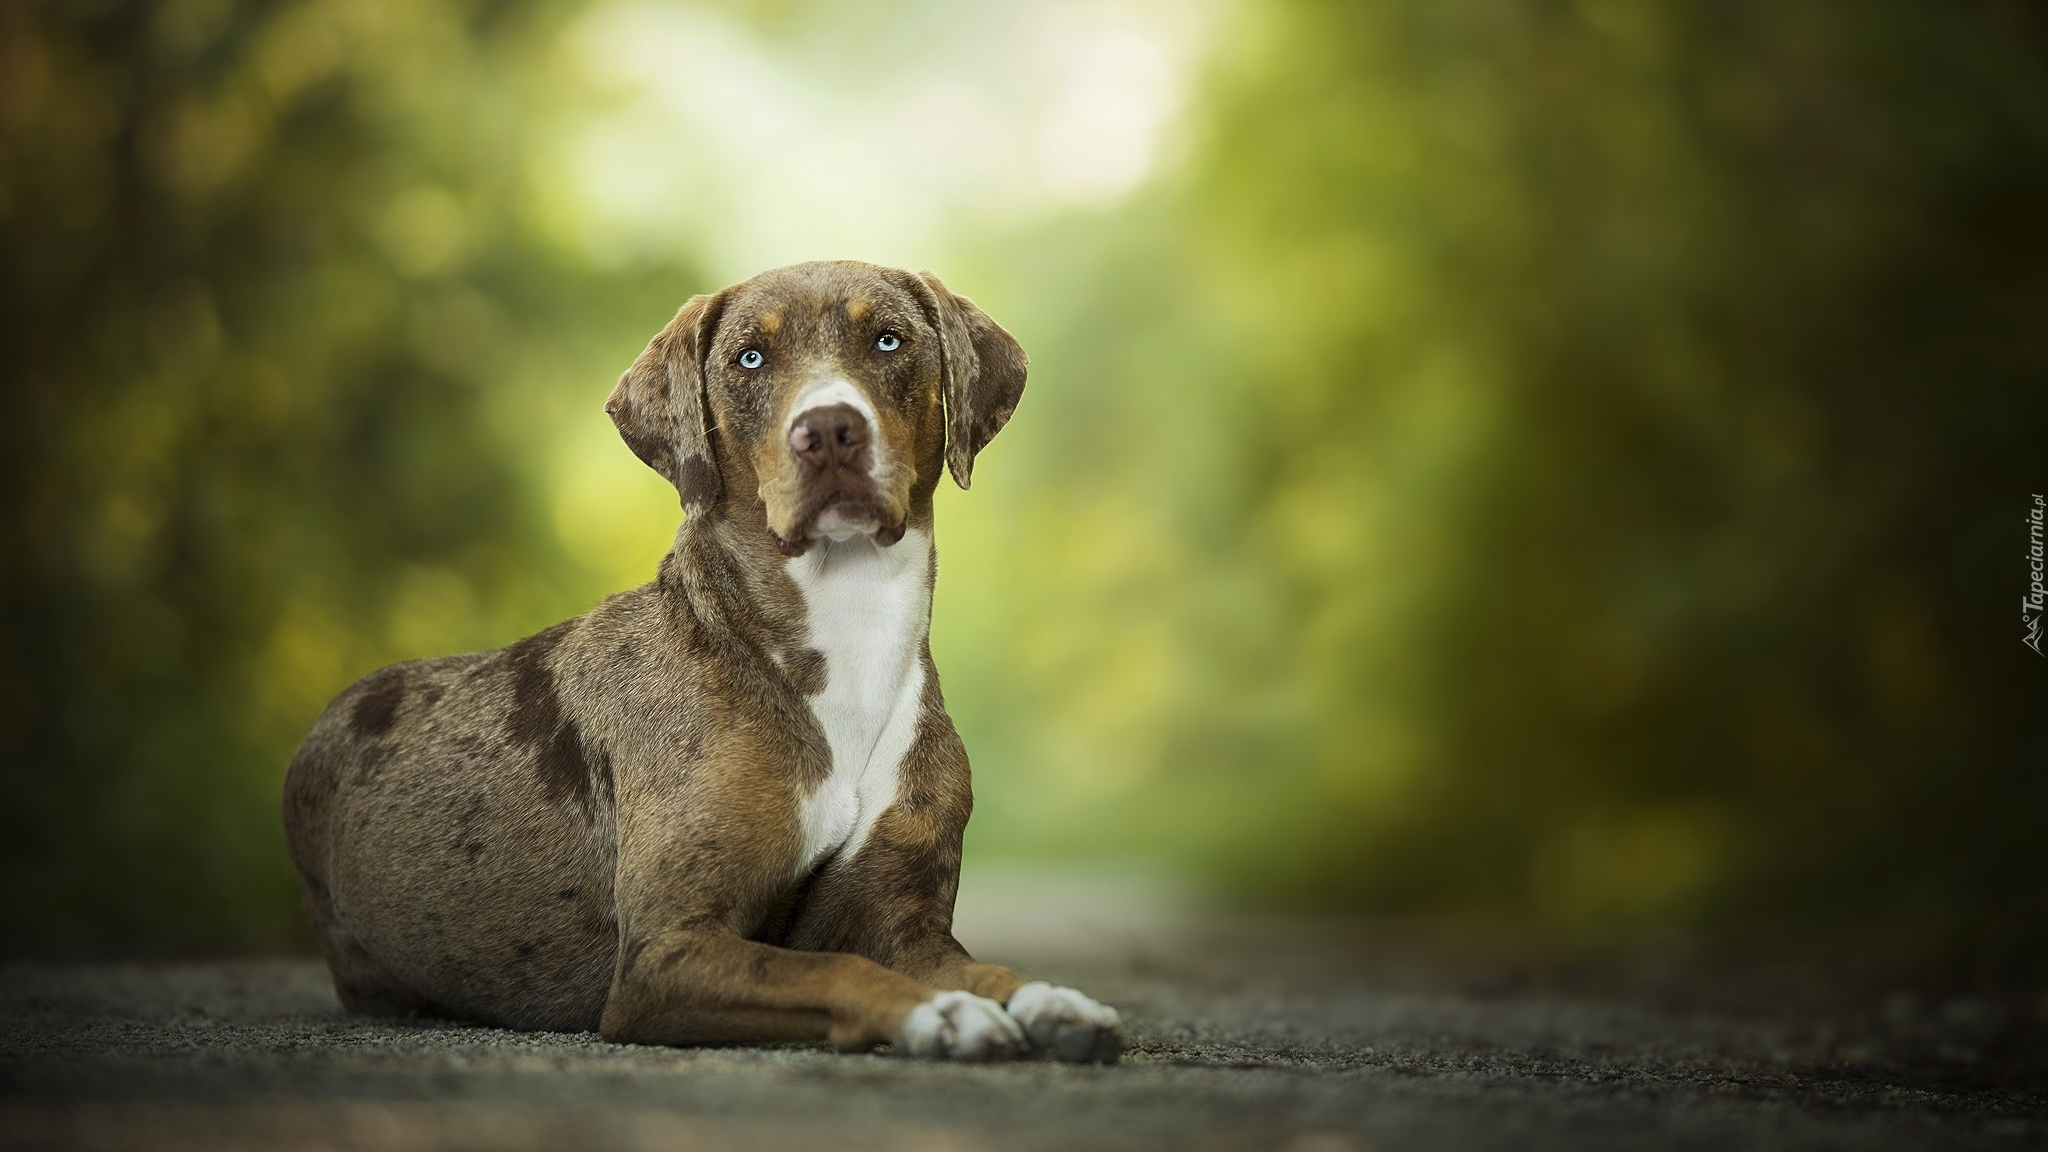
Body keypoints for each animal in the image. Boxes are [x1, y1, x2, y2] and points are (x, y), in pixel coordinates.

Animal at [276, 258, 1122, 1057]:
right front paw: (940, 1014)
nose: (829, 431)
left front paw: (1054, 1000)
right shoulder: (666, 952)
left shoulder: (909, 928)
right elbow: (834, 967)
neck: (844, 632)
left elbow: (986, 970)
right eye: (749, 358)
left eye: (889, 341)